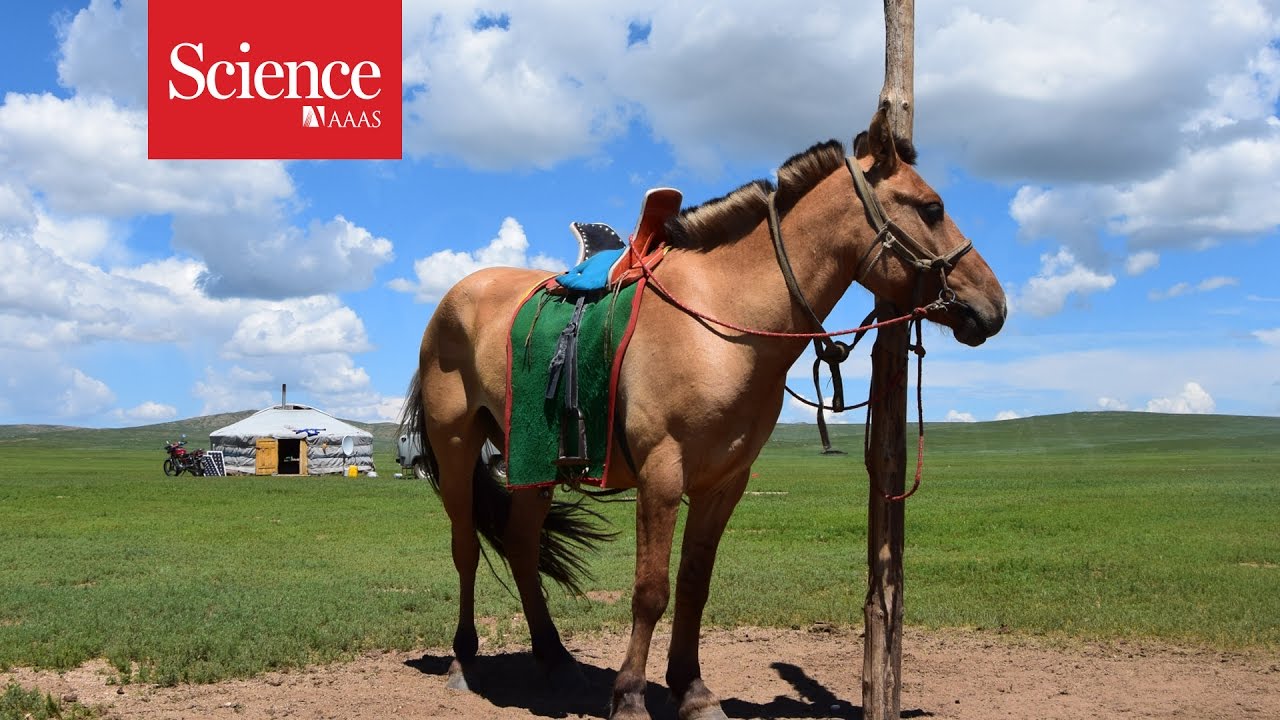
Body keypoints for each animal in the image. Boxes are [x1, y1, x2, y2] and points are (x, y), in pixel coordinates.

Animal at [402, 106, 1006, 720]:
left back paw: (555, 659)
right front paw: (630, 696)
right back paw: (464, 661)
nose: (996, 305)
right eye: (931, 208)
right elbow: (651, 591)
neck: (724, 317)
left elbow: (694, 584)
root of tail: (452, 300)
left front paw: (692, 690)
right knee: (466, 548)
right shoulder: (662, 475)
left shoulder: (724, 482)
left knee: (522, 547)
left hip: (532, 457)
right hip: (457, 450)